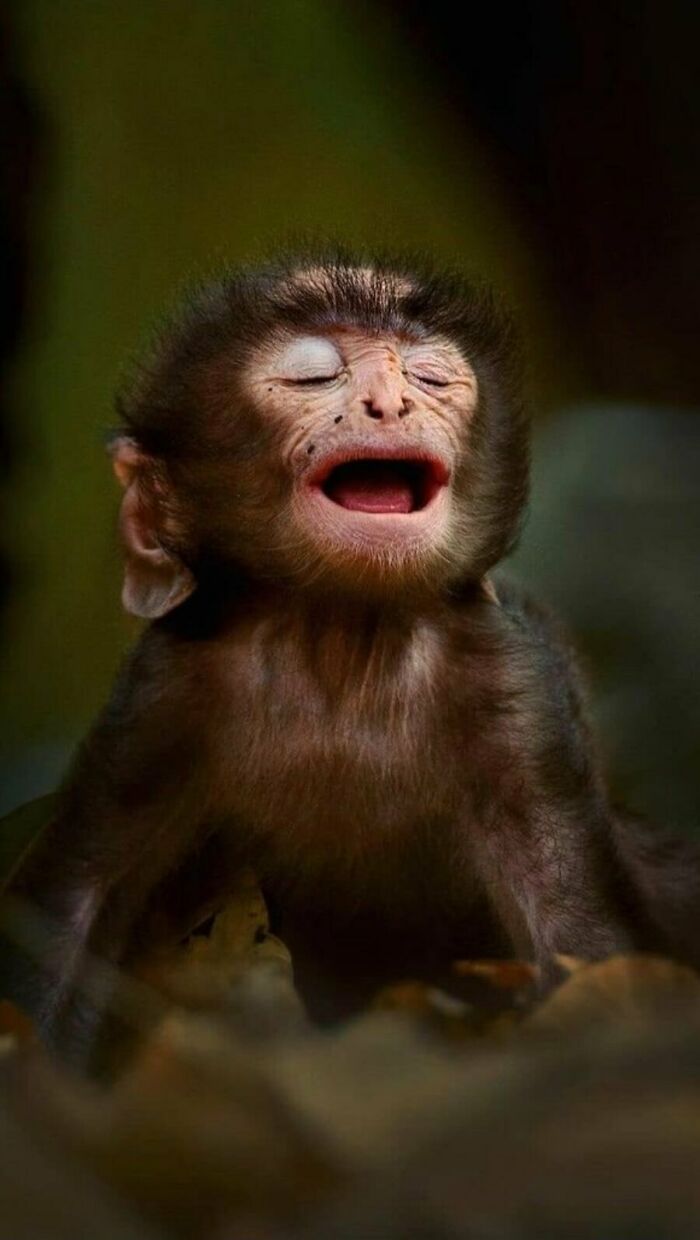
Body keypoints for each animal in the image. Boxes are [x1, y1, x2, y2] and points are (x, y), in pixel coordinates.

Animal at [3, 250, 700, 1055]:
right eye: (312, 376)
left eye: (431, 378)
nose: (389, 406)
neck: (342, 640)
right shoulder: (161, 688)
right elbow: (73, 901)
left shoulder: (517, 685)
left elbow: (577, 929)